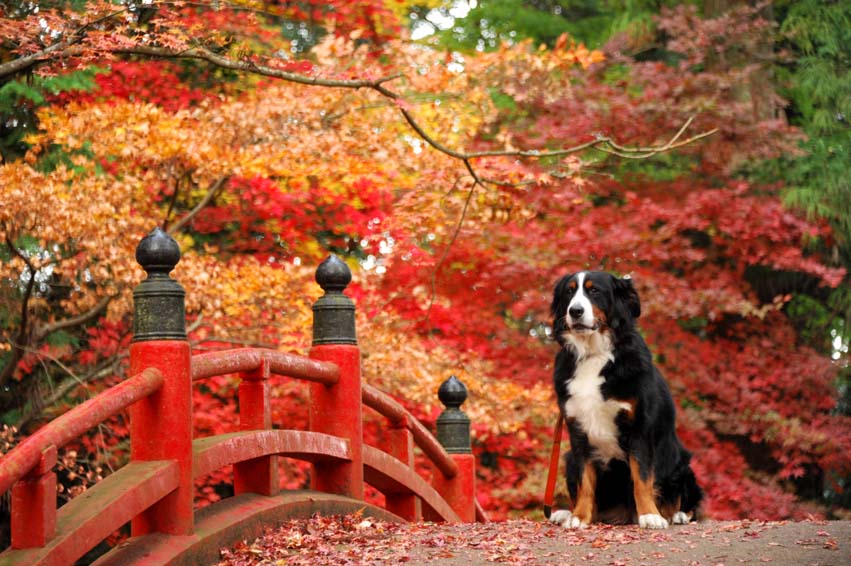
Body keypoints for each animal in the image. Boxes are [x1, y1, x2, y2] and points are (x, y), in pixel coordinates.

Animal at [544, 272, 704, 532]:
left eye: (594, 291)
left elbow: (642, 477)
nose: (575, 311)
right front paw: (579, 516)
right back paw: (564, 513)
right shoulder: (578, 431)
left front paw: (650, 515)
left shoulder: (639, 428)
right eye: (569, 292)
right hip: (567, 459)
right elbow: (585, 481)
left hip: (681, 463)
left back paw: (676, 514)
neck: (594, 354)